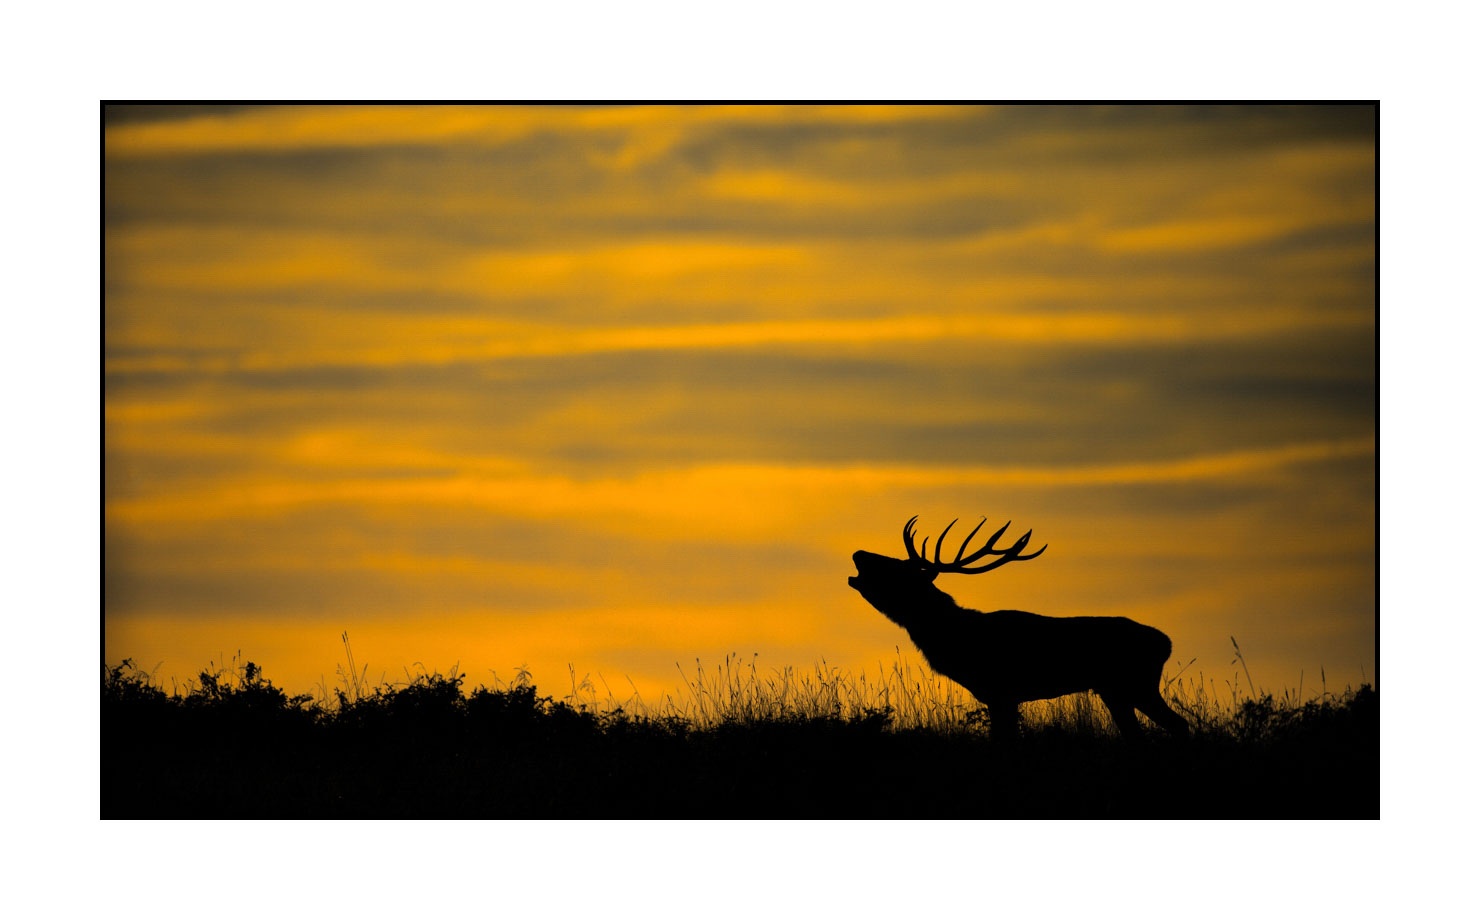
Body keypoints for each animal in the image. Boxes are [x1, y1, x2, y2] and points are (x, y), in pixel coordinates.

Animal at [848, 516, 1190, 739]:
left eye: (897, 569)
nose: (858, 553)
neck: (956, 639)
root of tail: (1166, 643)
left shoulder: (1002, 691)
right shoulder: (1000, 696)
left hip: (1136, 683)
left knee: (1179, 724)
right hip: (1116, 690)